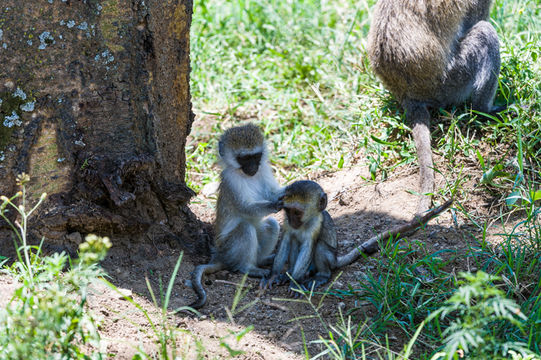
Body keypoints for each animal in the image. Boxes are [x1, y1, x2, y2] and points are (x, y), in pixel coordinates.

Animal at [190, 124, 282, 310]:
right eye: (244, 158)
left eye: (256, 156)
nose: (253, 168)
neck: (245, 175)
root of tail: (219, 255)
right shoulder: (231, 181)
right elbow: (245, 208)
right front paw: (275, 205)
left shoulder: (264, 169)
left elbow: (273, 192)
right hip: (229, 249)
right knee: (245, 229)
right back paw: (249, 268)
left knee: (271, 224)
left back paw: (262, 260)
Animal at [262, 180, 452, 292]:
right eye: (287, 211)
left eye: (297, 212)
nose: (292, 220)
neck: (304, 223)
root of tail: (336, 260)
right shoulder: (287, 225)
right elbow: (286, 240)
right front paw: (275, 275)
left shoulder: (316, 225)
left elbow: (309, 245)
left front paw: (295, 282)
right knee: (294, 241)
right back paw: (287, 275)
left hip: (329, 260)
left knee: (320, 247)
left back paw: (321, 275)